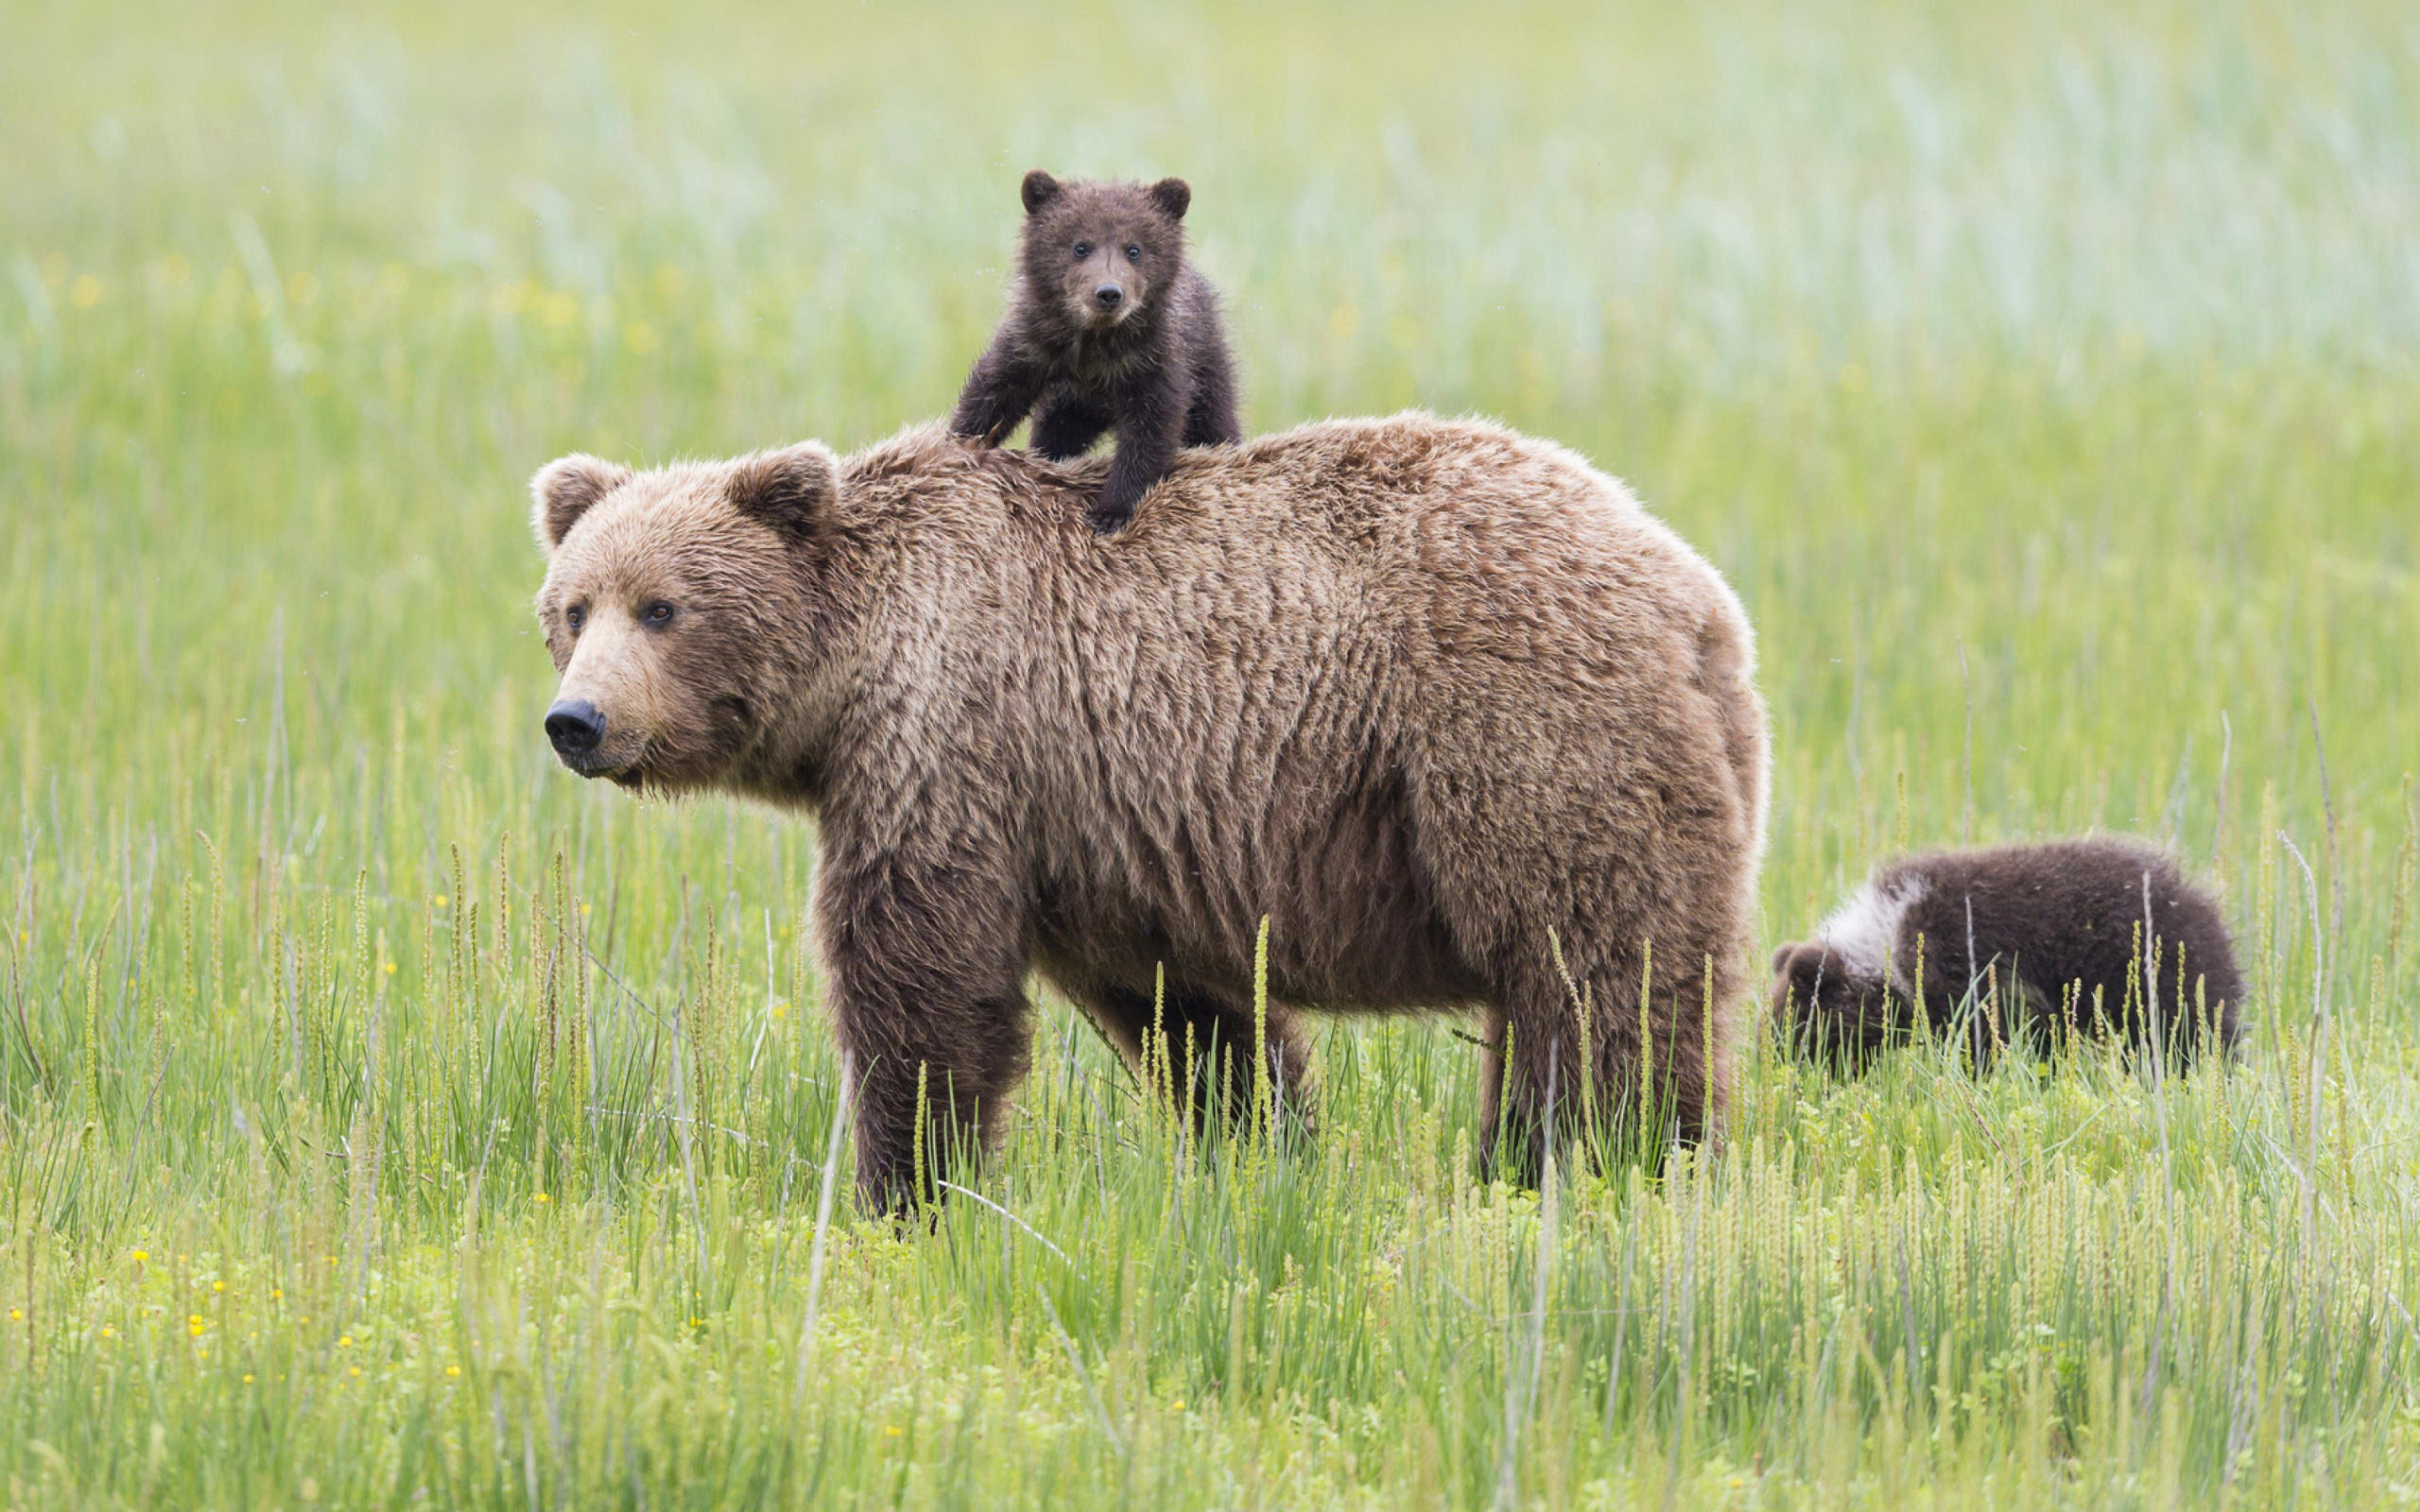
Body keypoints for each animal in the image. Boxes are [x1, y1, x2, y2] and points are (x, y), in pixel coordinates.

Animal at [529, 416, 1771, 1214]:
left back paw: (1606, 1165)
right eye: (572, 606)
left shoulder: (947, 741)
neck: (850, 670)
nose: (577, 721)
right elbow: (1191, 1010)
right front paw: (1263, 1149)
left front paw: (899, 1190)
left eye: (663, 606)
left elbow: (919, 981)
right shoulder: (1107, 828)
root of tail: (1697, 599)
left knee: (1591, 973)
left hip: (1521, 736)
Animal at [948, 170, 1238, 534]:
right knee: (1056, 434)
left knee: (1214, 422)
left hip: (1207, 362)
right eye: (1080, 246)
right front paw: (954, 444)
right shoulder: (1033, 345)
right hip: (1071, 406)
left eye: (1134, 249)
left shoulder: (1153, 359)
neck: (1094, 345)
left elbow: (1151, 430)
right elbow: (992, 394)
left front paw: (1110, 512)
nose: (1108, 293)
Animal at [1761, 836, 2245, 1074]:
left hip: (2151, 970)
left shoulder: (1967, 966)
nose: (1787, 1072)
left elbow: (1988, 1036)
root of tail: (2201, 900)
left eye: (1797, 1026)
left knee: (2189, 1034)